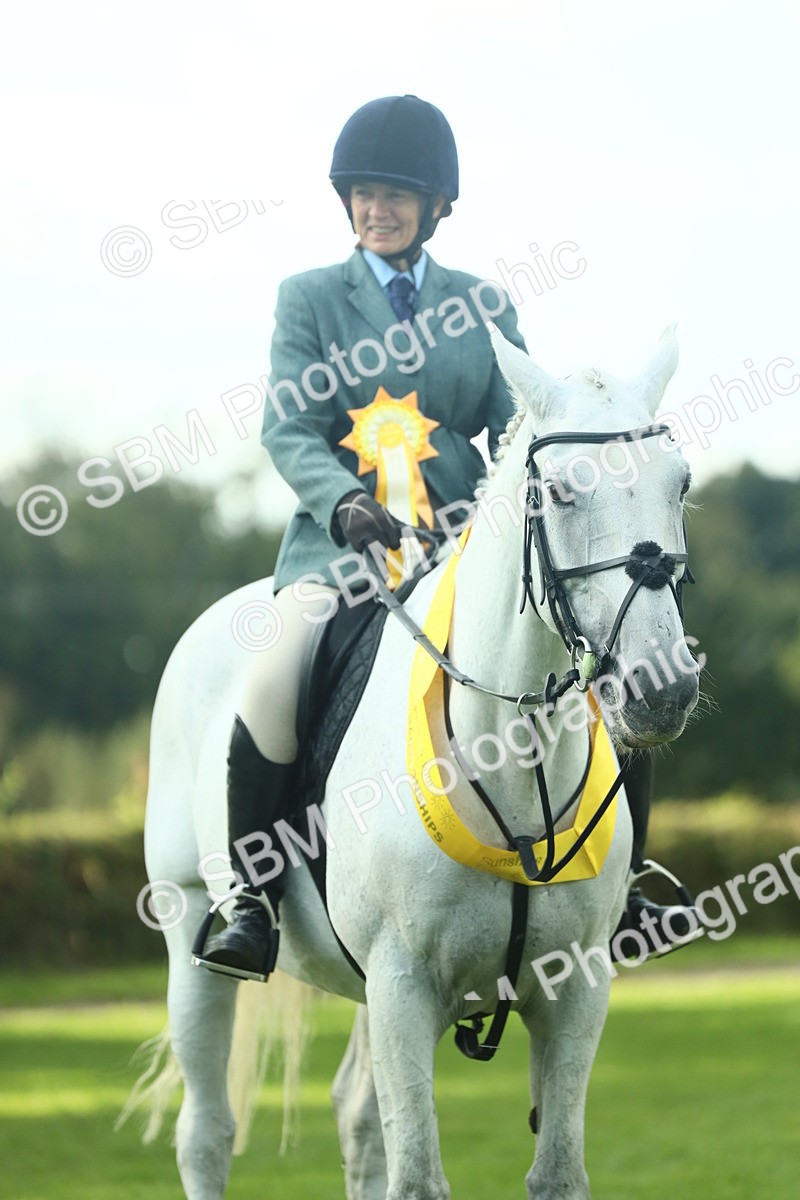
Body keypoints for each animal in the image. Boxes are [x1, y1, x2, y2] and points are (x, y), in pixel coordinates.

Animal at [133, 323, 700, 1199]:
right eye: (559, 492)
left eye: (680, 485)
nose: (663, 689)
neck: (513, 764)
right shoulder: (402, 986)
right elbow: (418, 1179)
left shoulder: (575, 992)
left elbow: (556, 1173)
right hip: (191, 931)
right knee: (207, 1133)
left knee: (356, 1119)